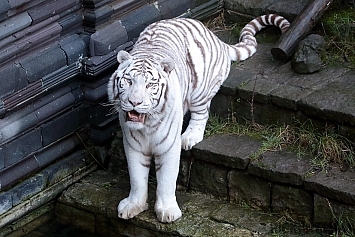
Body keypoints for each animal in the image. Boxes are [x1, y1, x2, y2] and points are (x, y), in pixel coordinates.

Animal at [108, 14, 290, 222]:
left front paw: (167, 211)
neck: (147, 127)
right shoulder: (133, 146)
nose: (134, 102)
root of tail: (215, 38)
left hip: (199, 91)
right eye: (128, 81)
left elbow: (167, 179)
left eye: (150, 85)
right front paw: (133, 206)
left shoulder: (168, 145)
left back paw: (190, 137)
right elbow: (137, 178)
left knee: (201, 113)